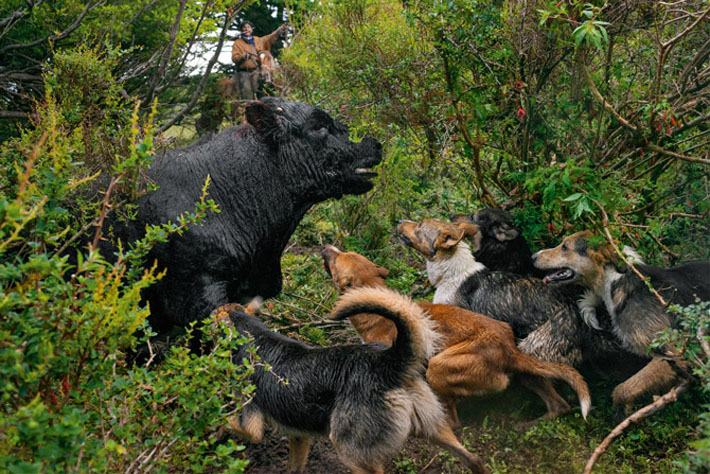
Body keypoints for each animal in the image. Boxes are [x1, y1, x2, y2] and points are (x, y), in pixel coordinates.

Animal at [320, 246, 592, 428]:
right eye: (343, 252)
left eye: (336, 259)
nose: (326, 247)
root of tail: (510, 350)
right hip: (530, 372)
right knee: (559, 405)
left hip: (438, 367)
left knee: (454, 420)